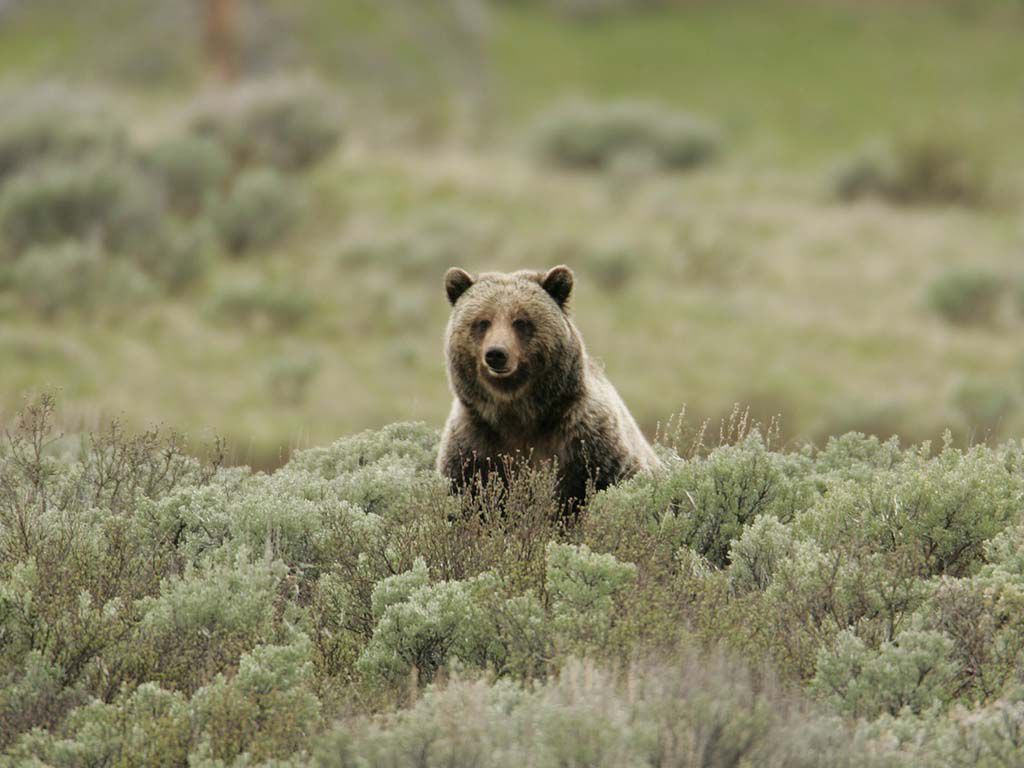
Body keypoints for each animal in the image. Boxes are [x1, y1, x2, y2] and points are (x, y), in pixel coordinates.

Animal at [437, 264, 661, 510]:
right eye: (482, 322)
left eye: (520, 321)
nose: (496, 354)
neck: (518, 413)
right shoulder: (473, 446)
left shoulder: (589, 442)